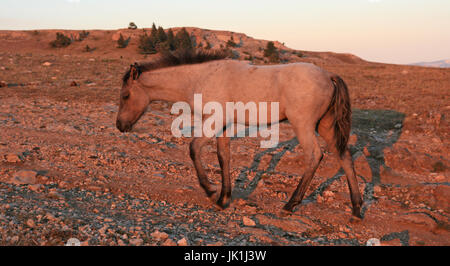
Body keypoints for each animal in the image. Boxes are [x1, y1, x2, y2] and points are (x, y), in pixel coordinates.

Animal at [114, 50, 364, 218]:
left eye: (126, 95)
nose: (120, 125)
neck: (200, 76)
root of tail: (329, 75)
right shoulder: (223, 126)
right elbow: (223, 157)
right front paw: (223, 198)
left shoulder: (213, 122)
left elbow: (194, 149)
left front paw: (210, 190)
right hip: (325, 125)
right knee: (345, 156)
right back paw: (356, 208)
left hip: (303, 125)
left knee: (314, 156)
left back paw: (290, 205)